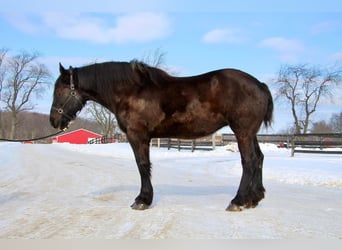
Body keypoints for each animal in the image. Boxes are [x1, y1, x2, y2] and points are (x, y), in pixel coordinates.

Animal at [50, 60, 272, 211]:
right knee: (259, 158)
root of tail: (259, 84)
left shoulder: (137, 136)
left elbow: (142, 165)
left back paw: (238, 201)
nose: (53, 120)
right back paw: (254, 198)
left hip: (242, 132)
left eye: (59, 91)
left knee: (249, 161)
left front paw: (142, 200)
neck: (131, 92)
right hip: (250, 133)